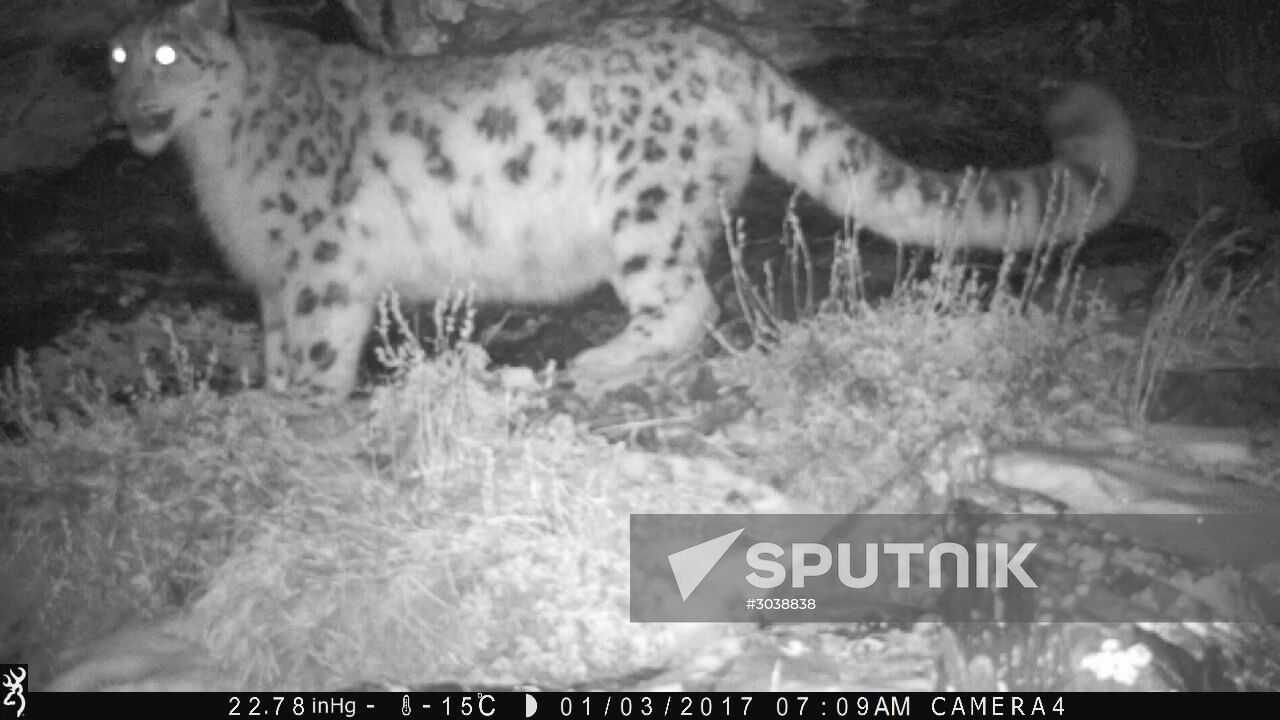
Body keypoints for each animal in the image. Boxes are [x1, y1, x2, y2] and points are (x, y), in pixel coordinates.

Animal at [108, 0, 1137, 405]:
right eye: (117, 52)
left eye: (167, 53)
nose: (124, 105)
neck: (215, 165)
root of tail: (725, 48)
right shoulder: (269, 279)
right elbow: (279, 351)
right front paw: (267, 402)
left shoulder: (317, 265)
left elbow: (318, 355)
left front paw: (298, 413)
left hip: (646, 206)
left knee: (689, 298)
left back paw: (601, 361)